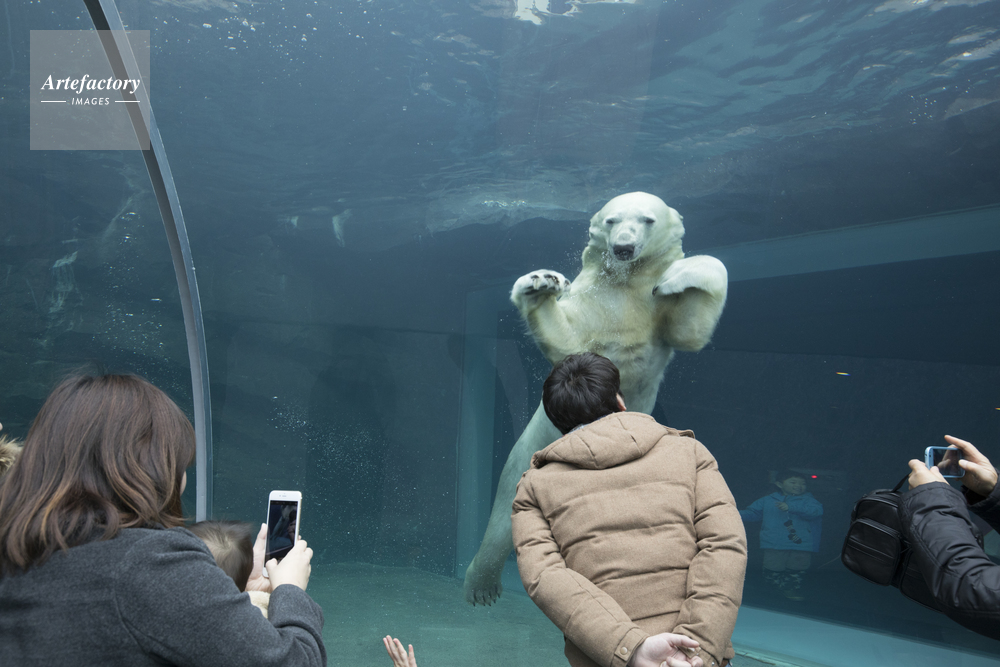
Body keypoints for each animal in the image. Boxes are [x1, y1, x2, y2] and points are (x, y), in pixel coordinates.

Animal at [460, 192, 728, 604]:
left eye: (647, 220)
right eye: (611, 220)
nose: (623, 247)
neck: (625, 283)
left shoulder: (655, 314)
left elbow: (691, 330)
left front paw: (675, 276)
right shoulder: (592, 305)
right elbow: (566, 342)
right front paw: (540, 281)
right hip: (527, 454)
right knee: (506, 511)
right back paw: (482, 583)